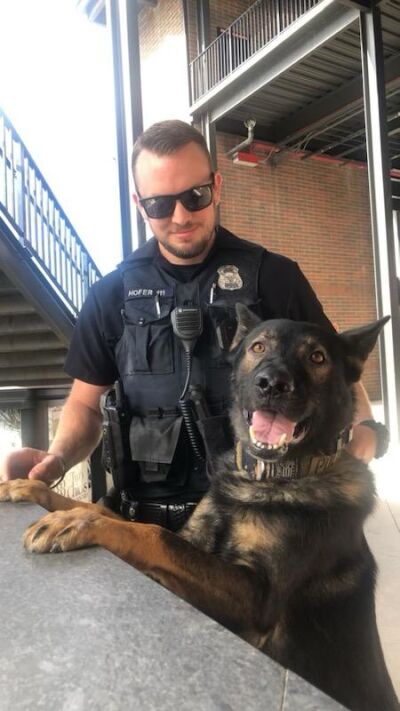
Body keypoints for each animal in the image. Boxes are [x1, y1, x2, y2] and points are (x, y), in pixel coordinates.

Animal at [1, 306, 398, 711]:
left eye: (317, 357)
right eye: (258, 347)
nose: (271, 384)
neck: (264, 479)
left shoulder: (256, 597)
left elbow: (153, 535)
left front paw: (79, 522)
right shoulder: (193, 545)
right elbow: (115, 515)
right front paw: (34, 487)